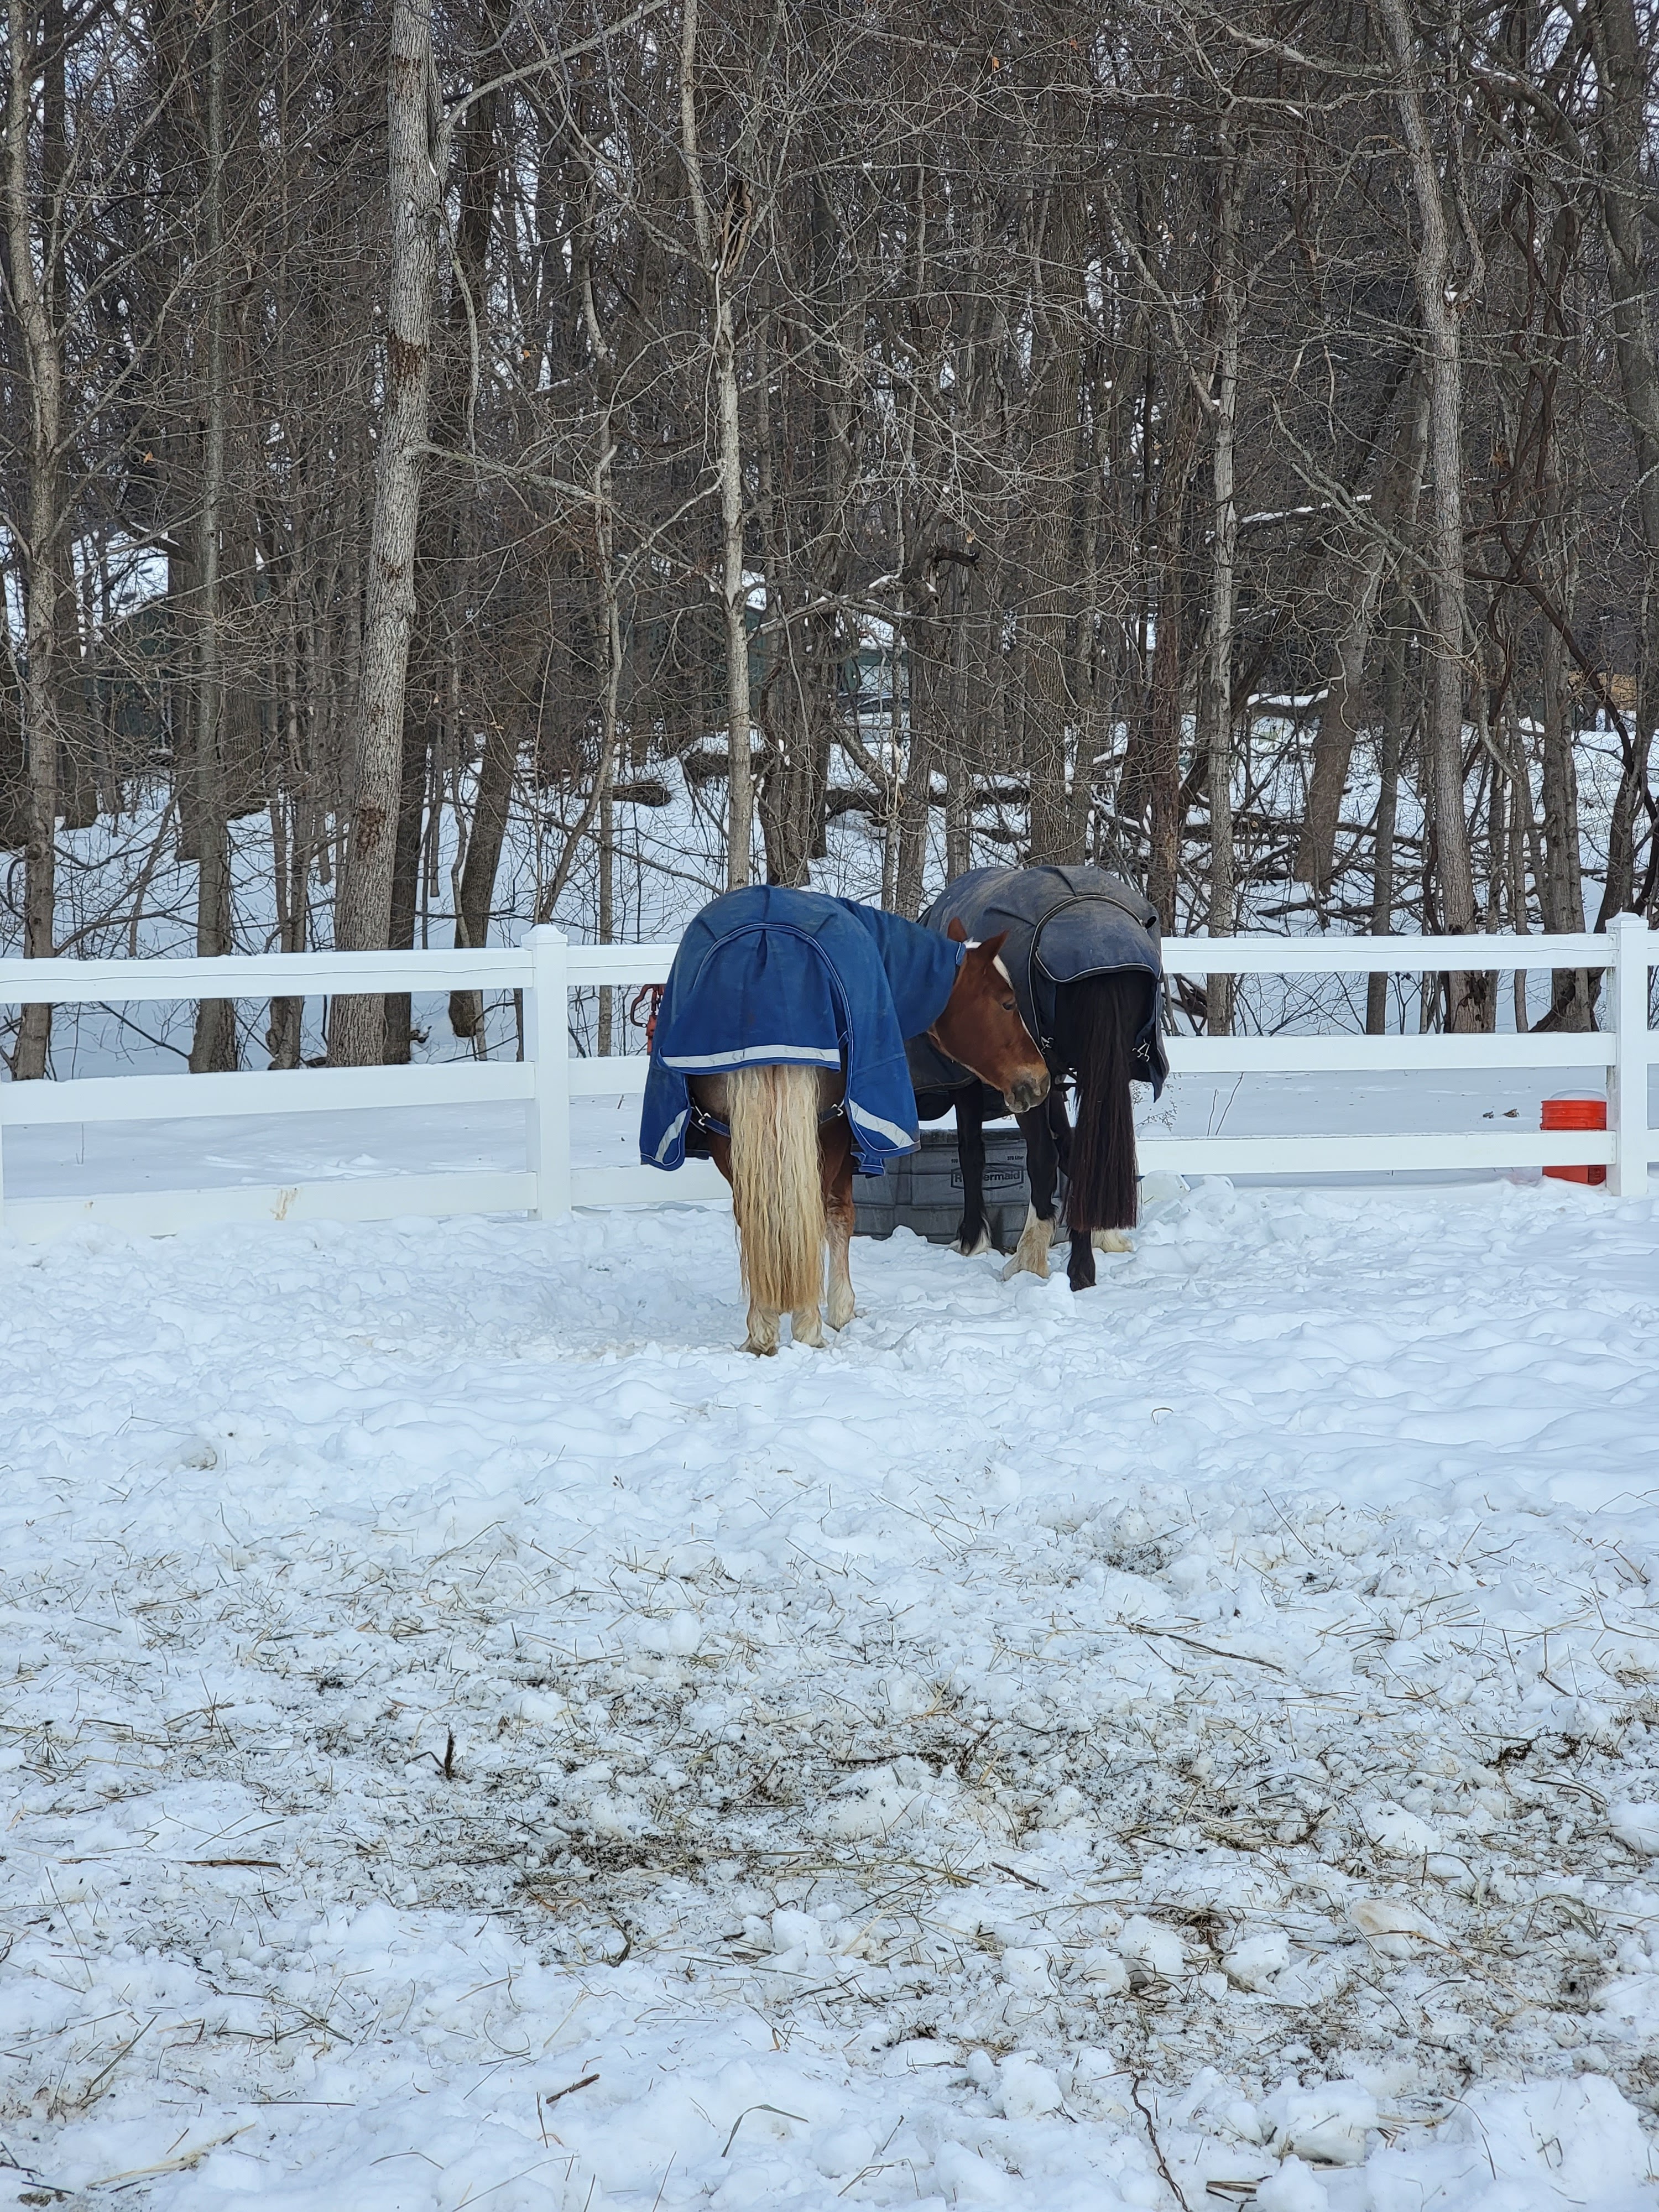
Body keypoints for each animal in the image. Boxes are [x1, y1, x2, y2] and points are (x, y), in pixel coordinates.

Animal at [640, 887, 1049, 1353]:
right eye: (1008, 1003)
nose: (1040, 1080)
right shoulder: (844, 1136)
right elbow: (841, 1217)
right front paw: (839, 1311)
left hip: (727, 1135)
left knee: (754, 1217)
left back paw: (762, 1329)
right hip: (823, 1131)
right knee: (814, 1214)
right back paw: (806, 1324)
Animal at [908, 865, 1167, 1294]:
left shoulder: (978, 1082)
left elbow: (972, 1152)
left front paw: (972, 1239)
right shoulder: (1051, 1078)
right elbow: (1071, 1149)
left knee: (1042, 1159)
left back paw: (1031, 1260)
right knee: (1084, 1153)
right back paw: (1082, 1266)